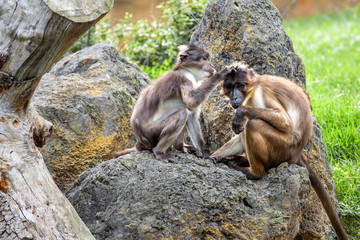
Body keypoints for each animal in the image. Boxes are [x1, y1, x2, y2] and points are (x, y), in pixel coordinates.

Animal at [212, 62, 348, 239]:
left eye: (240, 86)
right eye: (230, 87)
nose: (234, 97)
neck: (253, 88)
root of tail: (298, 154)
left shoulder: (261, 94)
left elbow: (285, 123)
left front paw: (241, 112)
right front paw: (212, 156)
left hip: (283, 148)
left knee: (253, 124)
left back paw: (254, 172)